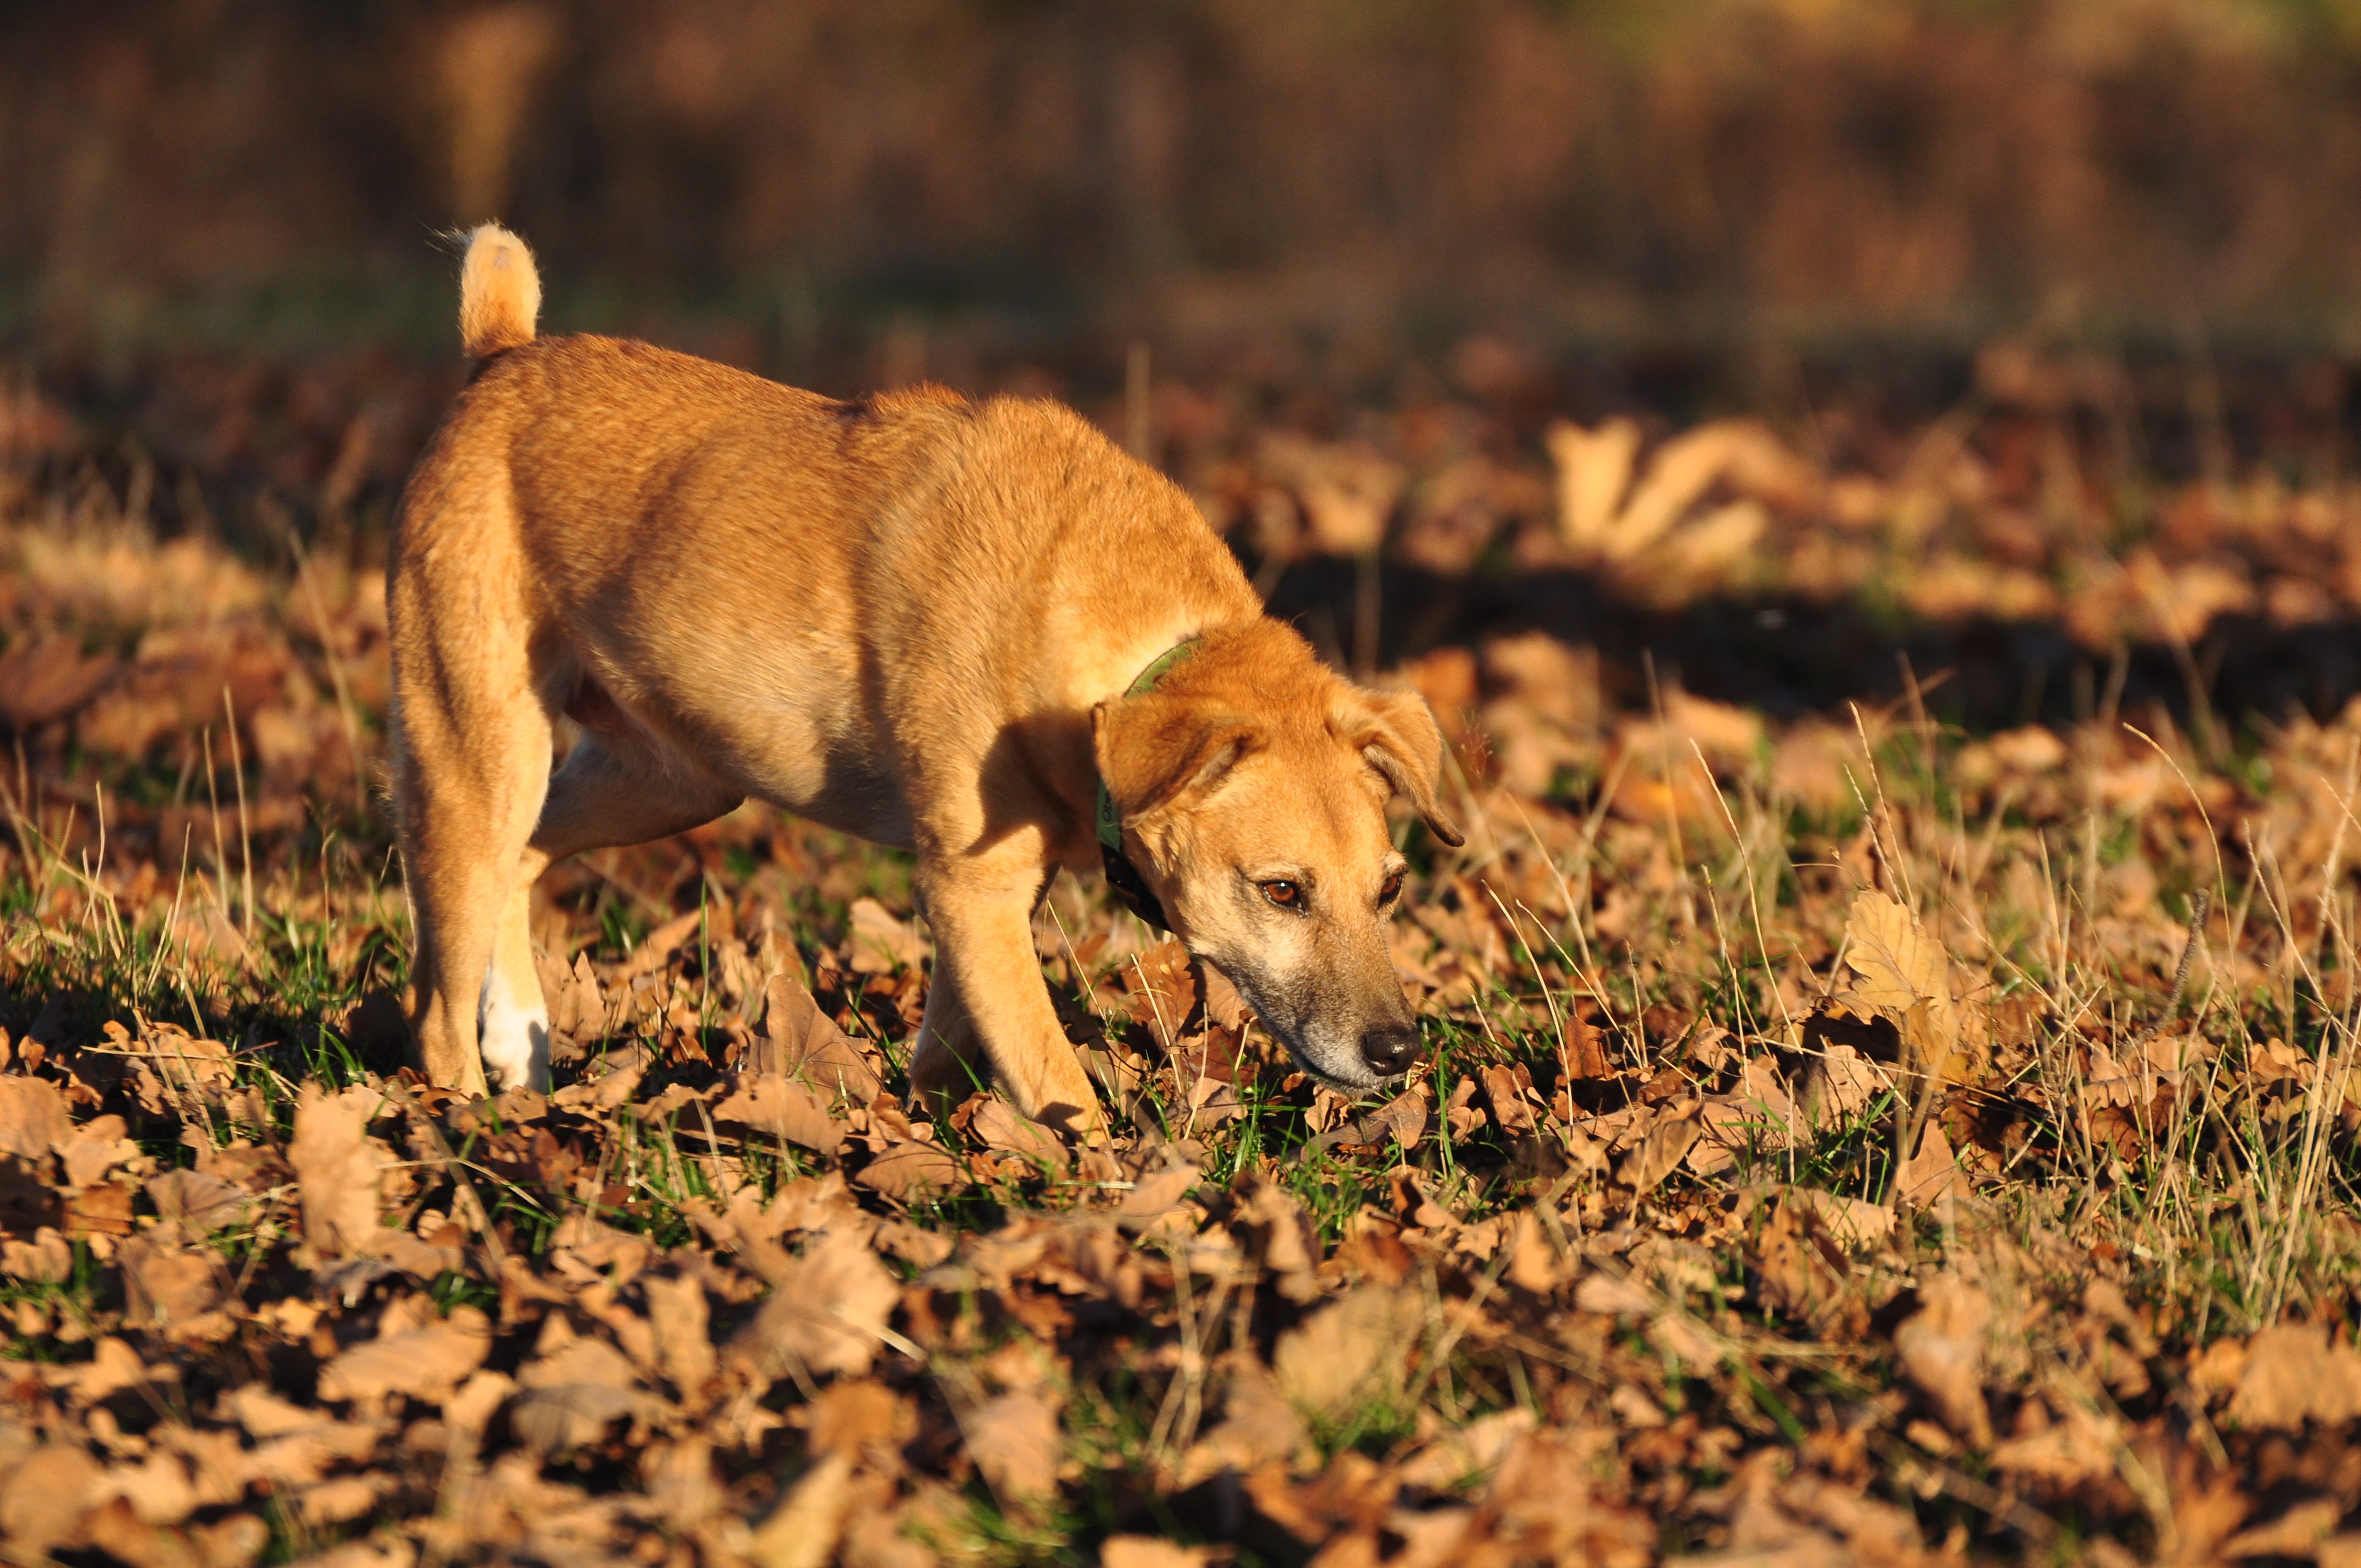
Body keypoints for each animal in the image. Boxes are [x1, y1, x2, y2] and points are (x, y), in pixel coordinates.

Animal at [384, 226, 1454, 1133]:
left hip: (671, 780)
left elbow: (952, 1052)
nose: (1399, 1052)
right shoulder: (976, 889)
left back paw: (521, 1058)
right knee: (438, 997)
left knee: (524, 863)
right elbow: (1062, 1089)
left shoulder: (985, 906)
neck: (1123, 639)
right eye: (1281, 891)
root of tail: (502, 356)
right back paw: (466, 1121)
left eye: (1391, 887)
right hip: (480, 756)